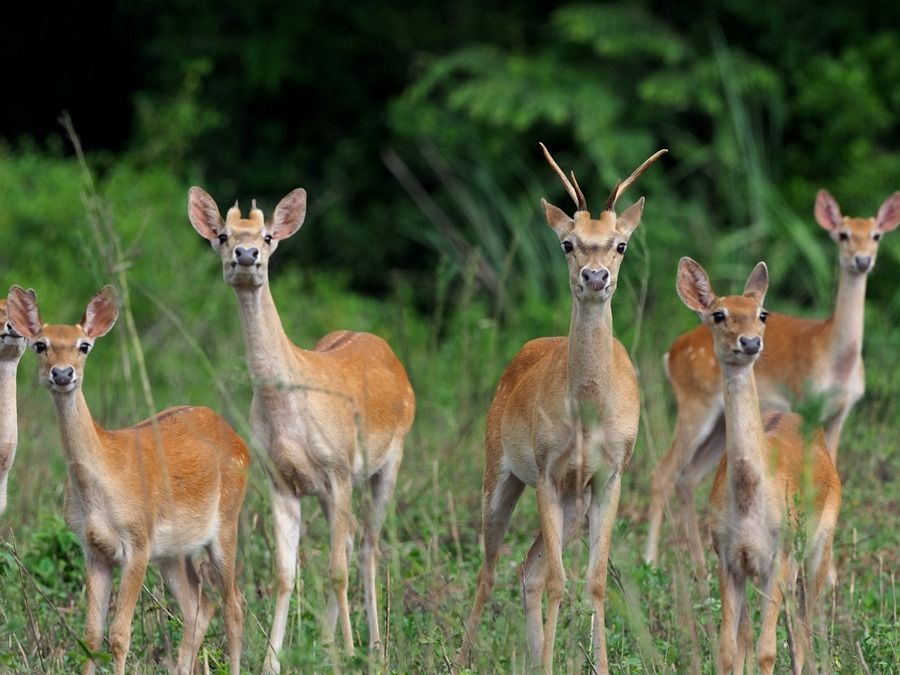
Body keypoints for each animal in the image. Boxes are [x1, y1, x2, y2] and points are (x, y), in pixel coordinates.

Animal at [6, 286, 250, 675]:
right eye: (40, 344)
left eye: (84, 345)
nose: (63, 373)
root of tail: (238, 440)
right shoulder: (94, 549)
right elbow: (91, 637)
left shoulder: (137, 542)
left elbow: (120, 635)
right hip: (173, 552)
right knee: (199, 609)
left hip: (226, 523)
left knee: (234, 604)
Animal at [190, 185, 414, 672]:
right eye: (221, 235)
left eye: (268, 236)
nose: (246, 254)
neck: (287, 408)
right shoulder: (280, 481)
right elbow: (284, 574)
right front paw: (272, 662)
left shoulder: (339, 468)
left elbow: (336, 572)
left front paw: (343, 655)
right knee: (349, 541)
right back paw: (333, 642)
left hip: (388, 462)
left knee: (366, 547)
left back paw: (371, 647)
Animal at [460, 143, 664, 672]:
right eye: (567, 244)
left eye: (620, 244)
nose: (595, 277)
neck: (589, 412)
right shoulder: (548, 472)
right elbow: (558, 581)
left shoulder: (608, 477)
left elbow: (594, 582)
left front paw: (600, 665)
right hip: (499, 475)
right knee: (491, 570)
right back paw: (462, 658)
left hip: (576, 503)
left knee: (526, 571)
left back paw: (533, 660)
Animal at [644, 191, 896, 572]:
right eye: (843, 235)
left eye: (876, 235)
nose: (862, 260)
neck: (836, 358)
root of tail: (670, 353)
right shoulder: (804, 400)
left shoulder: (841, 412)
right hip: (694, 404)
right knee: (662, 472)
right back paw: (650, 560)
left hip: (717, 424)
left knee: (688, 477)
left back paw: (699, 564)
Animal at [676, 258, 844, 675]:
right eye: (718, 314)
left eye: (762, 313)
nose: (750, 342)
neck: (751, 497)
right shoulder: (728, 557)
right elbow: (730, 649)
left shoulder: (777, 555)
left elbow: (769, 650)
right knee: (767, 634)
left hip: (819, 543)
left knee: (805, 627)